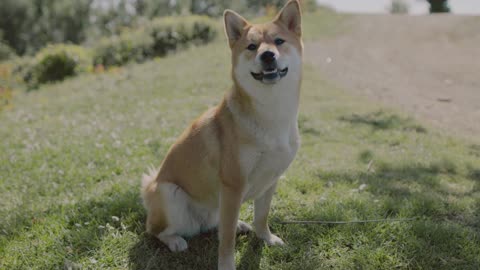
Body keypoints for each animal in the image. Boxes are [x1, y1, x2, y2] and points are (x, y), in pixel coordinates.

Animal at [141, 1, 302, 268]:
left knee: (216, 223)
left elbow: (262, 216)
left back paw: (240, 224)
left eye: (279, 41)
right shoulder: (233, 186)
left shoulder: (271, 179)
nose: (267, 55)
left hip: (217, 204)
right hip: (169, 193)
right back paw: (175, 240)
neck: (272, 113)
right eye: (252, 46)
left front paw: (266, 238)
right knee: (155, 230)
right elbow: (226, 240)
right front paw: (227, 265)